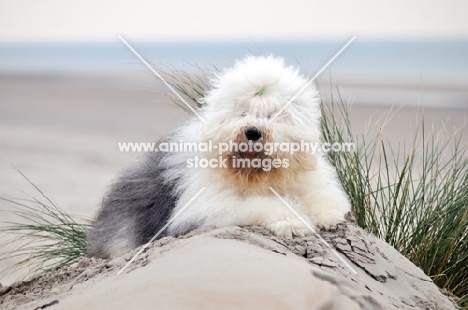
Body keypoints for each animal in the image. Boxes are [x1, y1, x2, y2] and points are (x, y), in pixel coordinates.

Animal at [87, 55, 352, 260]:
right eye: (242, 112)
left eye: (272, 115)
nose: (252, 131)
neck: (254, 173)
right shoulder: (208, 205)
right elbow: (259, 205)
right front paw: (293, 222)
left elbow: (320, 195)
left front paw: (328, 214)